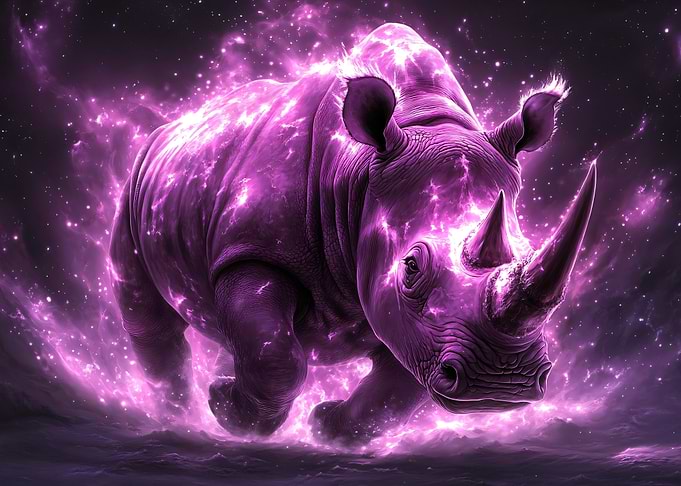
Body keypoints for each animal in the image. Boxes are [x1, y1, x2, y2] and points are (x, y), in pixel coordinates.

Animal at [110, 23, 596, 445]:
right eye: (411, 267)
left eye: (529, 250)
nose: (502, 380)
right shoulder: (251, 249)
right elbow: (275, 356)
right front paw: (226, 410)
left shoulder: (417, 326)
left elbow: (398, 390)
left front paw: (326, 427)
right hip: (136, 180)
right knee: (151, 314)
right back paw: (178, 411)